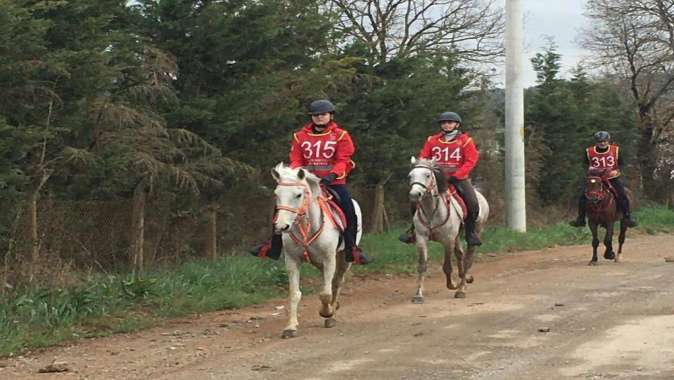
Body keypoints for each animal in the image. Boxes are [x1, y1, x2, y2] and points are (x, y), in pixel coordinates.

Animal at [270, 163, 362, 338]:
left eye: (298, 195)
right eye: (276, 194)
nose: (282, 226)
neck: (307, 227)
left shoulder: (329, 258)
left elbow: (325, 293)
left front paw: (327, 313)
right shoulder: (292, 260)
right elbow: (295, 294)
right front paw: (290, 327)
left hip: (343, 259)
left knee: (336, 283)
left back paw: (332, 313)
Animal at [406, 156, 486, 302]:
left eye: (427, 175)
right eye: (410, 176)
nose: (414, 195)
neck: (432, 211)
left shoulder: (448, 240)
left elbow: (447, 266)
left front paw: (453, 285)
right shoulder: (421, 238)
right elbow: (422, 266)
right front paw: (418, 294)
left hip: (475, 231)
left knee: (468, 259)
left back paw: (461, 289)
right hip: (457, 236)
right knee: (460, 254)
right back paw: (465, 279)